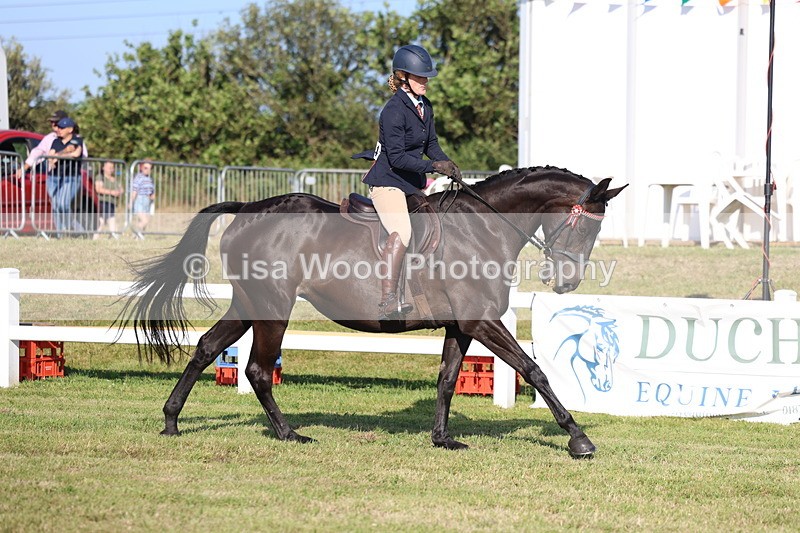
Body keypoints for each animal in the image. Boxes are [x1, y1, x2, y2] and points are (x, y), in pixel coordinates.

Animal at [120, 166, 626, 457]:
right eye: (585, 229)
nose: (566, 282)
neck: (485, 227)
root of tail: (247, 208)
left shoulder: (462, 325)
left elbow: (447, 380)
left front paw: (442, 439)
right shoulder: (481, 320)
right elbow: (534, 370)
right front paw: (578, 438)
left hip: (249, 304)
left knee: (207, 347)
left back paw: (171, 420)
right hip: (272, 308)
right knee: (259, 371)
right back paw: (289, 434)